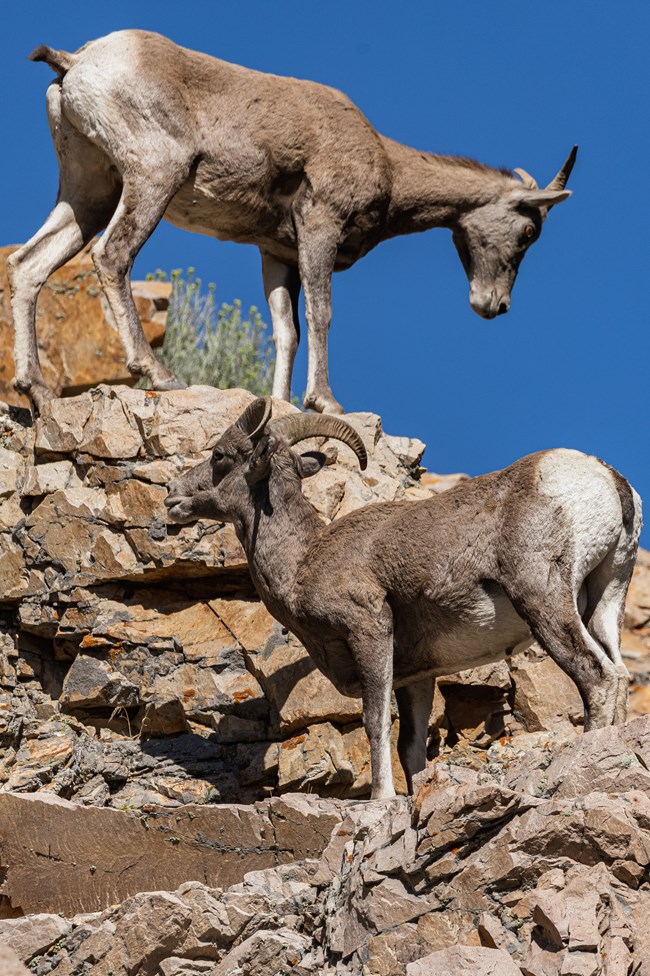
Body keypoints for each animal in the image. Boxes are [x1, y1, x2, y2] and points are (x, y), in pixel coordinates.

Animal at [10, 29, 576, 412]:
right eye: (529, 231)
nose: (494, 305)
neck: (388, 166)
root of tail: (77, 63)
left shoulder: (276, 253)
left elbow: (287, 330)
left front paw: (281, 402)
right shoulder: (320, 227)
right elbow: (321, 315)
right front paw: (325, 401)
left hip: (90, 191)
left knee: (28, 264)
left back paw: (36, 389)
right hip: (152, 177)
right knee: (113, 255)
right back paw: (158, 373)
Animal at [165, 396, 640, 800]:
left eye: (220, 456)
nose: (173, 495)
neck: (304, 560)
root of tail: (608, 479)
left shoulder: (369, 631)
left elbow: (376, 724)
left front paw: (381, 799)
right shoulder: (417, 677)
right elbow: (411, 748)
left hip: (544, 600)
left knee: (596, 676)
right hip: (605, 601)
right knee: (617, 672)